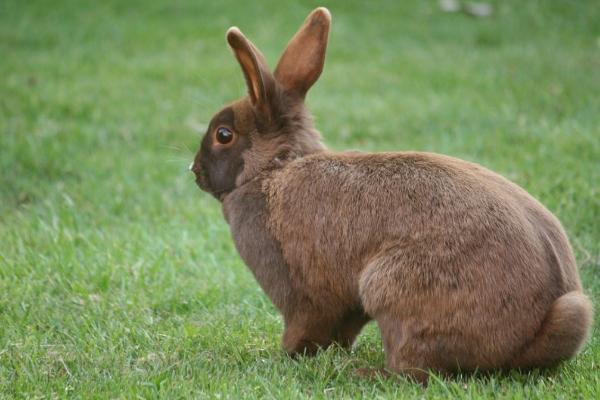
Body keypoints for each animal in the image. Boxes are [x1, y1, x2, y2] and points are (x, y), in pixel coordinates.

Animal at [190, 6, 592, 382]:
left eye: (223, 135)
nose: (194, 171)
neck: (272, 170)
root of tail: (531, 336)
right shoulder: (345, 307)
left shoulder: (301, 293)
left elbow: (306, 326)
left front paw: (285, 355)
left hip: (390, 288)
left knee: (413, 367)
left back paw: (367, 373)